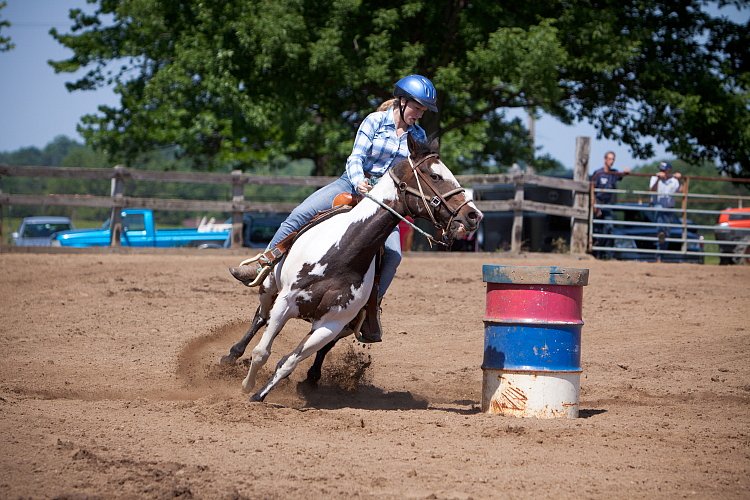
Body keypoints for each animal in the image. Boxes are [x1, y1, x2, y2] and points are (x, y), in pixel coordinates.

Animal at [223, 136, 484, 402]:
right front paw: (247, 386)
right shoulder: (286, 302)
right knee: (261, 317)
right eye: (435, 176)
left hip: (344, 326)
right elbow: (261, 352)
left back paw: (313, 378)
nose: (473, 215)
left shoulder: (331, 324)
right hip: (270, 286)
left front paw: (260, 395)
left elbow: (288, 363)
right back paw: (232, 354)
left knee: (318, 347)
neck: (342, 256)